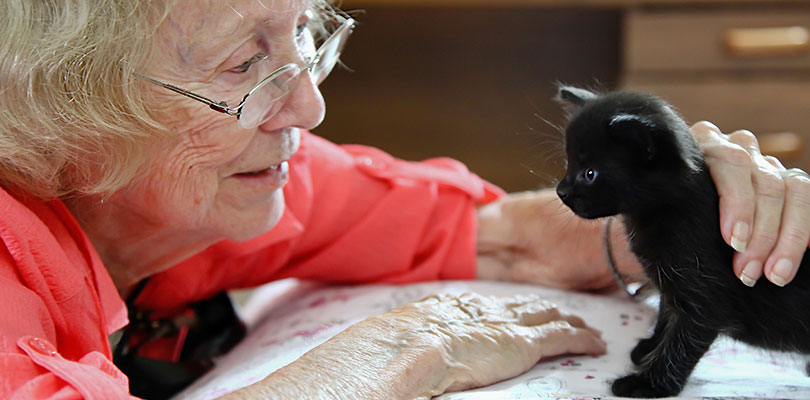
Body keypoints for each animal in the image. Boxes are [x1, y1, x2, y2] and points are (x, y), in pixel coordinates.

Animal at [552, 86, 808, 398]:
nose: (561, 191)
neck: (661, 212)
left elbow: (681, 343)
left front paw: (649, 383)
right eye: (569, 163)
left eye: (590, 174)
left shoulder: (705, 297)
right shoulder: (670, 286)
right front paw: (648, 348)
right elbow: (665, 315)